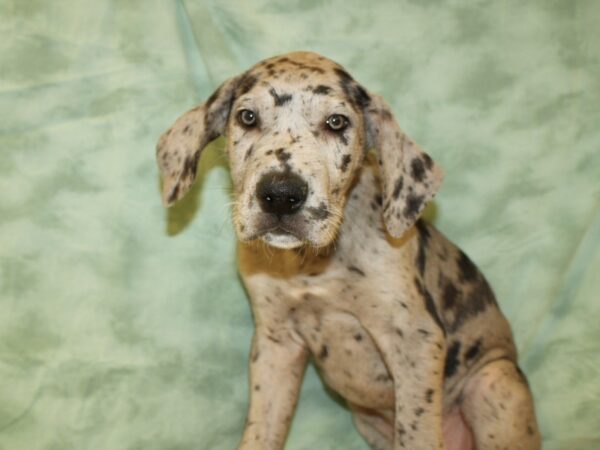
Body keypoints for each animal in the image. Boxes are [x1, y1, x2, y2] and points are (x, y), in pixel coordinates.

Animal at [155, 51, 540, 448]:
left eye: (336, 122)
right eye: (247, 117)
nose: (280, 195)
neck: (312, 267)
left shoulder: (415, 339)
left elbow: (416, 433)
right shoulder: (275, 343)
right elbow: (261, 433)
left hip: (494, 383)